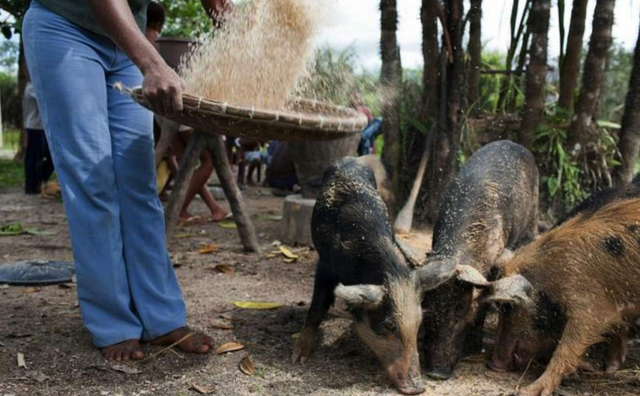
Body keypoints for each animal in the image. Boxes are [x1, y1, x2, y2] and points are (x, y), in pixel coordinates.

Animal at [296, 157, 430, 392]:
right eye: (388, 325)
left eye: (419, 323)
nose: (419, 388)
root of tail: (350, 158)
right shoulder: (325, 266)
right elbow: (317, 306)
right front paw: (297, 359)